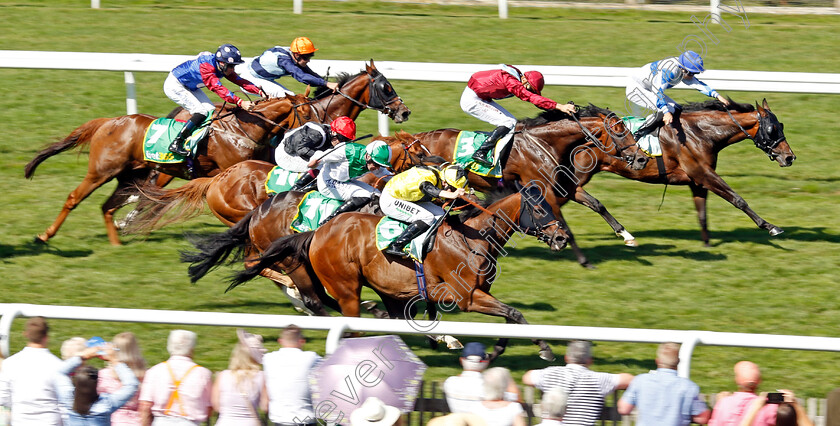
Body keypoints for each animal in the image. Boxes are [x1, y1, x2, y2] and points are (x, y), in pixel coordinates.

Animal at [27, 94, 316, 245]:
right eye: (307, 115)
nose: (323, 134)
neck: (243, 129)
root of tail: (108, 122)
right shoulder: (227, 172)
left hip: (129, 177)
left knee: (108, 207)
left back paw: (117, 242)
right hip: (101, 172)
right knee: (74, 198)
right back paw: (45, 235)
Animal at [189, 186, 568, 360]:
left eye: (556, 206)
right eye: (540, 209)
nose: (562, 238)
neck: (471, 239)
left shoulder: (449, 293)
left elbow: (508, 317)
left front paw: (491, 350)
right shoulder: (466, 297)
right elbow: (514, 314)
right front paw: (544, 350)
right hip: (327, 278)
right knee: (321, 304)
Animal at [564, 99, 796, 245]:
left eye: (782, 125)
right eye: (771, 129)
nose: (790, 157)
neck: (701, 132)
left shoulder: (697, 180)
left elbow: (702, 214)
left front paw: (707, 244)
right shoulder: (703, 174)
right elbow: (738, 199)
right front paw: (770, 226)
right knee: (577, 195)